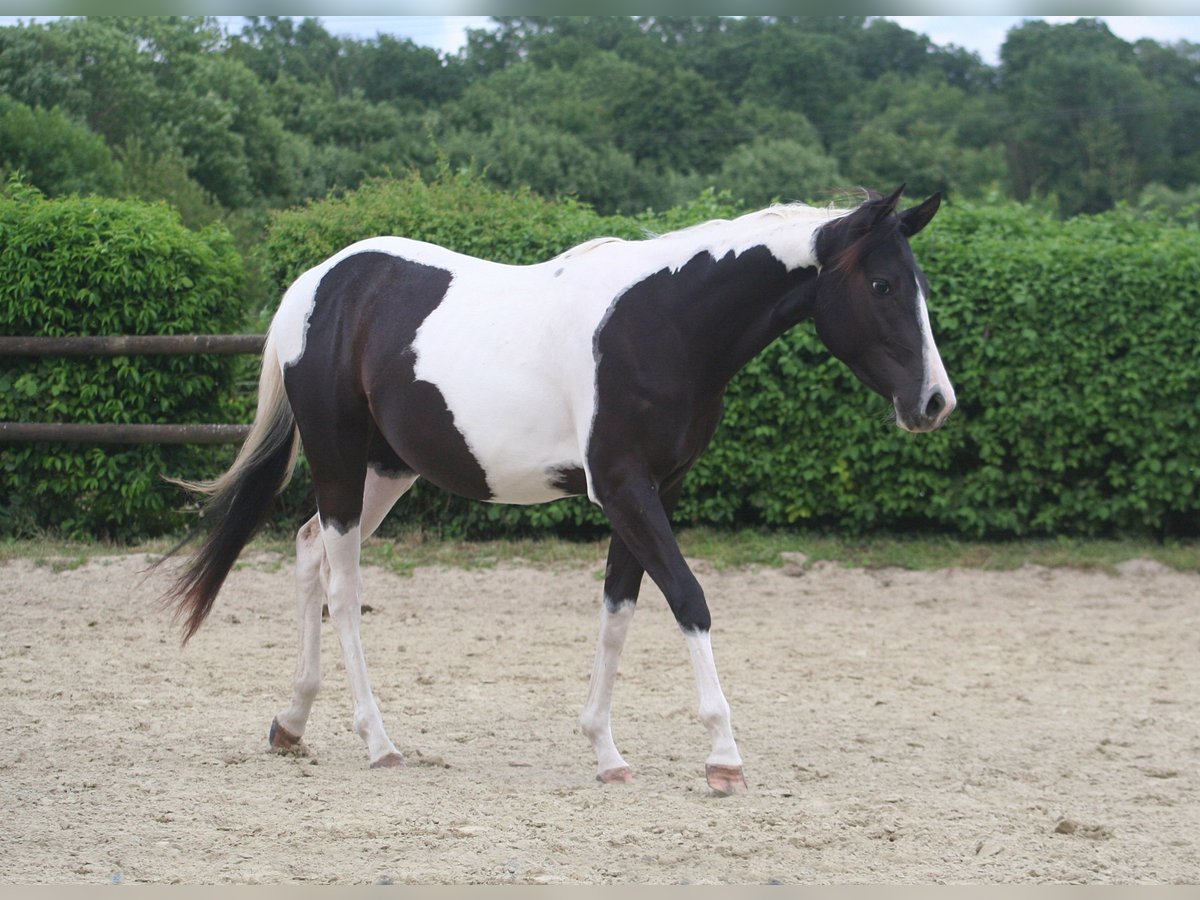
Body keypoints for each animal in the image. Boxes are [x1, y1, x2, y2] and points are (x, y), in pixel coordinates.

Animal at [162, 185, 955, 795]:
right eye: (882, 285)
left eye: (918, 285)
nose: (936, 403)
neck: (663, 323)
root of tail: (318, 284)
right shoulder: (625, 488)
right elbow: (688, 599)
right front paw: (723, 757)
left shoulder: (653, 491)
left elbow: (619, 611)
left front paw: (606, 752)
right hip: (337, 458)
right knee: (343, 585)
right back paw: (378, 741)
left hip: (386, 468)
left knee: (306, 552)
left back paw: (291, 723)